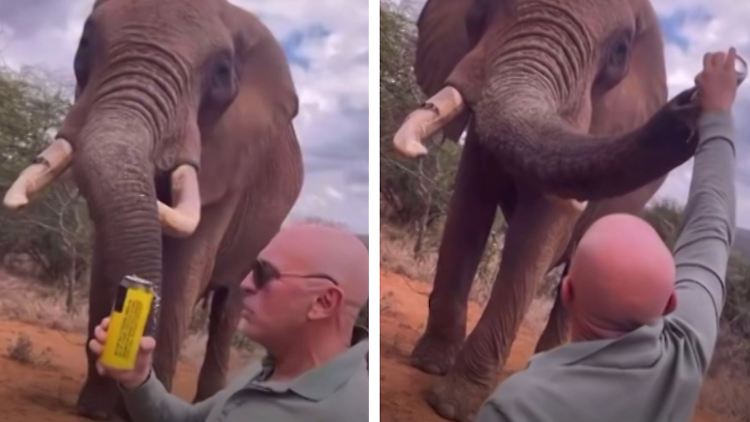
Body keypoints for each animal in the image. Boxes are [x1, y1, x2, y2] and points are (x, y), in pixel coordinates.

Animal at [4, 0, 302, 419]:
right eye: (84, 46)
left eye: (222, 73)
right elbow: (109, 257)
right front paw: (96, 409)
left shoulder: (233, 162)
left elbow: (185, 263)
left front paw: (132, 406)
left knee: (230, 303)